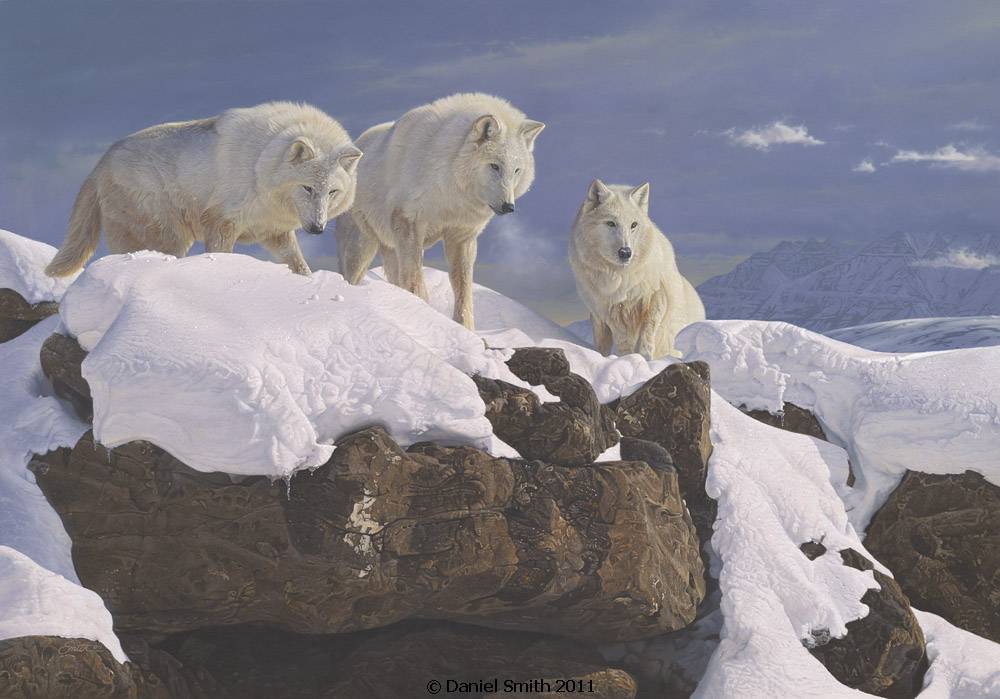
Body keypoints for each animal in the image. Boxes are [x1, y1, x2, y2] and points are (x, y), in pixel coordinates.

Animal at [45, 102, 362, 278]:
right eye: (307, 188)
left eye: (331, 192)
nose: (317, 229)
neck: (260, 167)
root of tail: (101, 162)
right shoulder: (221, 223)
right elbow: (222, 254)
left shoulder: (273, 232)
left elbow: (298, 264)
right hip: (167, 238)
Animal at [336, 92, 544, 328]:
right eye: (494, 166)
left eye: (517, 170)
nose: (509, 207)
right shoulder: (409, 225)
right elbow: (415, 280)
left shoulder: (462, 236)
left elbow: (463, 289)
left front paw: (466, 329)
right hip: (361, 247)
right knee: (352, 277)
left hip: (388, 247)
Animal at [569, 179, 705, 360]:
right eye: (611, 223)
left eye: (633, 225)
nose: (625, 252)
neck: (620, 278)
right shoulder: (608, 311)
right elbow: (621, 343)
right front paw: (624, 358)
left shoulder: (655, 298)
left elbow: (648, 333)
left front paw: (644, 358)